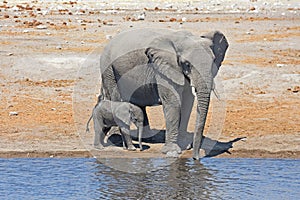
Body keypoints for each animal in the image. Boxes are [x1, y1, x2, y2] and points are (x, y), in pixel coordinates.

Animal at [98, 28, 227, 159]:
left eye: (213, 62)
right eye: (187, 64)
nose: (196, 157)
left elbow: (187, 103)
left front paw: (184, 145)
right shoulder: (163, 68)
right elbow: (173, 102)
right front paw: (172, 151)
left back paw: (148, 137)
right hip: (108, 69)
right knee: (115, 96)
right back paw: (117, 137)